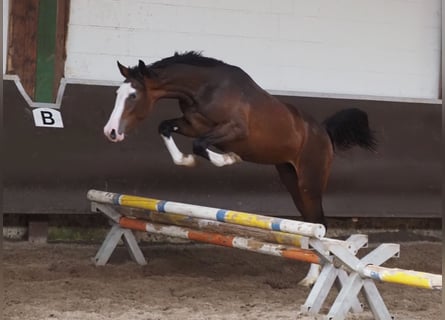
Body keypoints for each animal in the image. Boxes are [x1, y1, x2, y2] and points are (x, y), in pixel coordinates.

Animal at [103, 51, 374, 286]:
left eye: (133, 95)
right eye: (118, 92)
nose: (111, 132)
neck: (204, 89)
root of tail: (323, 132)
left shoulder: (234, 130)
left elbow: (200, 144)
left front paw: (230, 159)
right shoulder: (193, 124)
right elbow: (166, 128)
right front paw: (187, 160)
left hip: (310, 181)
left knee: (319, 223)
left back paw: (311, 278)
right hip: (291, 179)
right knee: (310, 223)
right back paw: (311, 277)